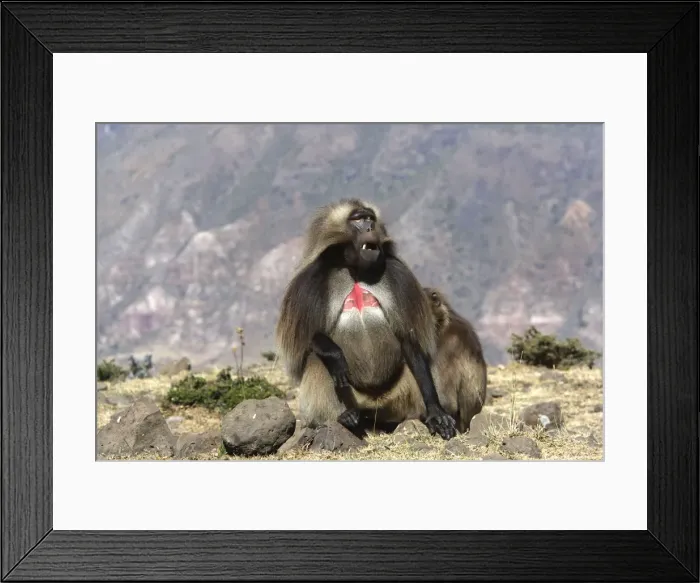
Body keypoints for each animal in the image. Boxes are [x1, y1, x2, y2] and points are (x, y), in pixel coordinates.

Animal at [275, 198, 457, 440]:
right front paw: (334, 354)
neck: (355, 269)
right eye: (358, 219)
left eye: (370, 218)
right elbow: (305, 343)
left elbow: (408, 340)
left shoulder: (398, 275)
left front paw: (436, 413)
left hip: (395, 400)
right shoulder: (310, 282)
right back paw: (346, 416)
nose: (370, 227)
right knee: (318, 358)